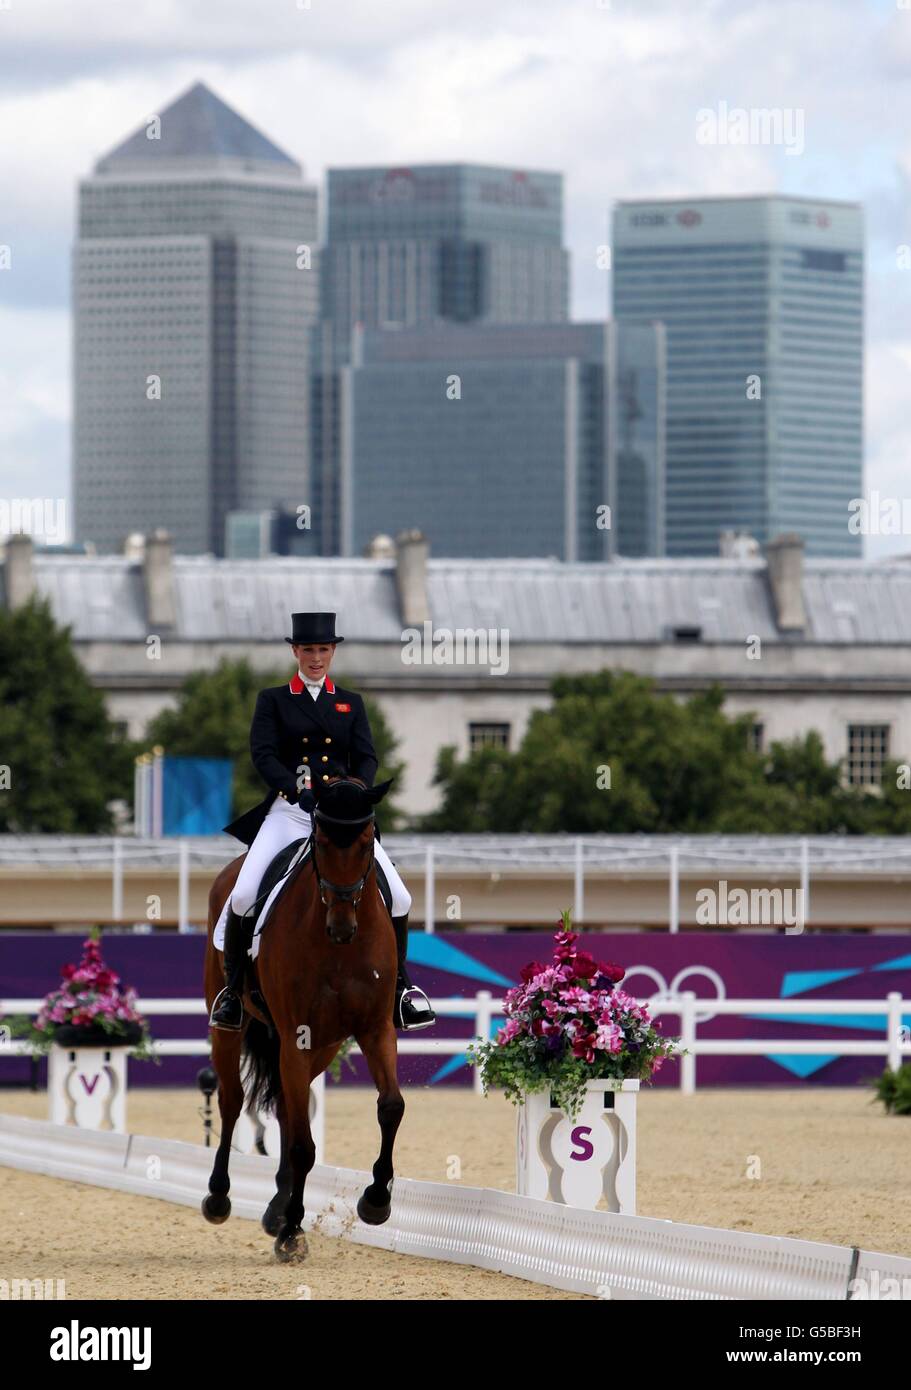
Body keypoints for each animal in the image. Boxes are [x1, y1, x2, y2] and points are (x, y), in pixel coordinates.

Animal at [204, 778, 408, 1267]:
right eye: (321, 844)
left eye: (366, 841)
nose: (342, 926)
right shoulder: (298, 1037)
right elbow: (301, 1145)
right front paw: (292, 1234)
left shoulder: (375, 1029)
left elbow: (390, 1106)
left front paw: (376, 1201)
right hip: (231, 1027)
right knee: (233, 1101)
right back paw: (219, 1198)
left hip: (324, 1047)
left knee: (283, 1106)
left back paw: (276, 1207)